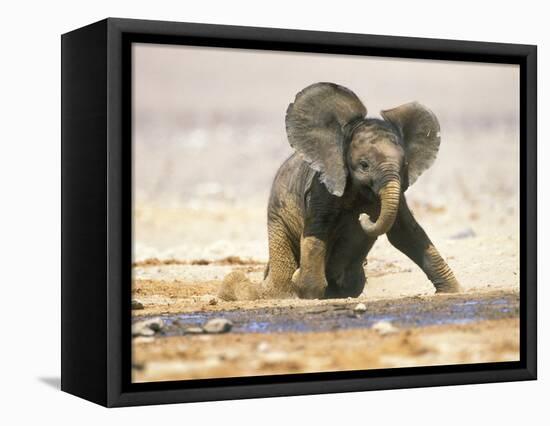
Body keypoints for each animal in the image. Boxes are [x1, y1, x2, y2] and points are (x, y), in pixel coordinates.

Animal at [220, 82, 462, 300]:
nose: (365, 217)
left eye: (404, 166)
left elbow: (405, 233)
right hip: (277, 218)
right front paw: (308, 292)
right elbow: (318, 231)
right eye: (364, 165)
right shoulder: (321, 187)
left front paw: (452, 291)